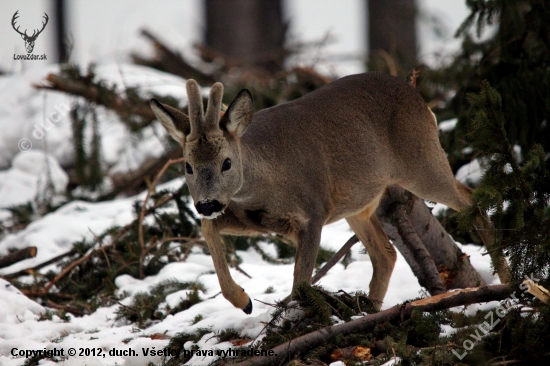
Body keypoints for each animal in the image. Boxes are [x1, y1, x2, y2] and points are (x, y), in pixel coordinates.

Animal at [150, 73, 508, 314]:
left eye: (226, 163)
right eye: (187, 166)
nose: (206, 202)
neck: (265, 181)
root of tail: (420, 99)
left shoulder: (313, 210)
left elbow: (301, 282)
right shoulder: (251, 219)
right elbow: (207, 228)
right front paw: (244, 300)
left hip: (422, 161)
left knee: (472, 200)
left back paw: (508, 280)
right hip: (360, 204)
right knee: (386, 253)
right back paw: (368, 310)